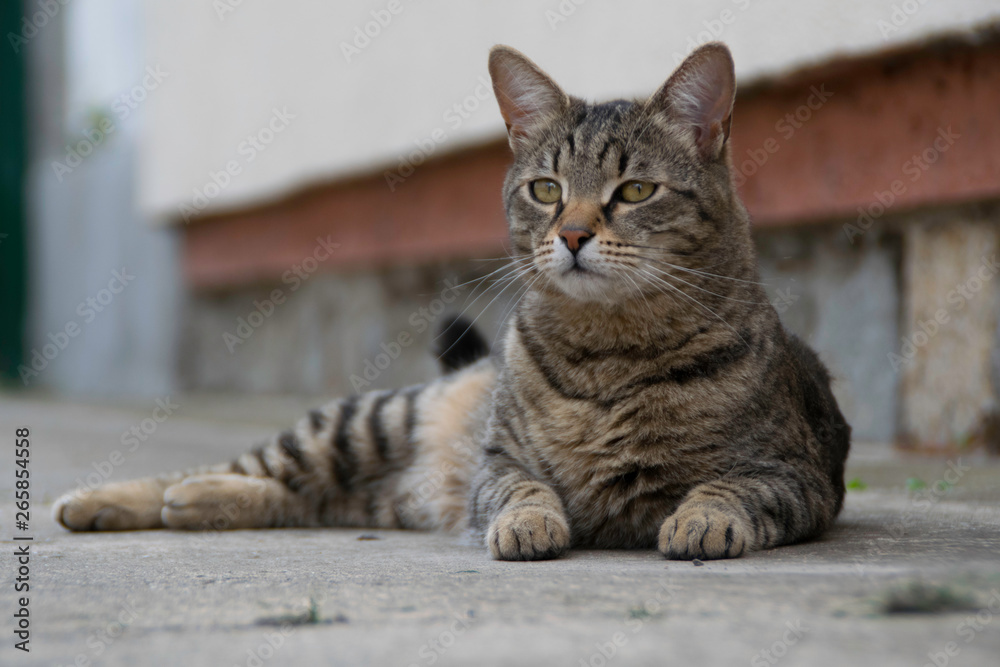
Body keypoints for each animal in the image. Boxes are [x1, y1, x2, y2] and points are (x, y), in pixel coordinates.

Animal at [52, 44, 852, 560]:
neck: (608, 350)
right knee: (243, 469)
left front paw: (700, 519)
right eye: (546, 189)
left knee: (294, 497)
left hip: (357, 482)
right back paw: (110, 499)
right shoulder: (497, 461)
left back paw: (190, 503)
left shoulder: (797, 473)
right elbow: (521, 491)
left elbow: (730, 488)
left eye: (634, 190)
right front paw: (529, 524)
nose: (571, 234)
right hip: (358, 424)